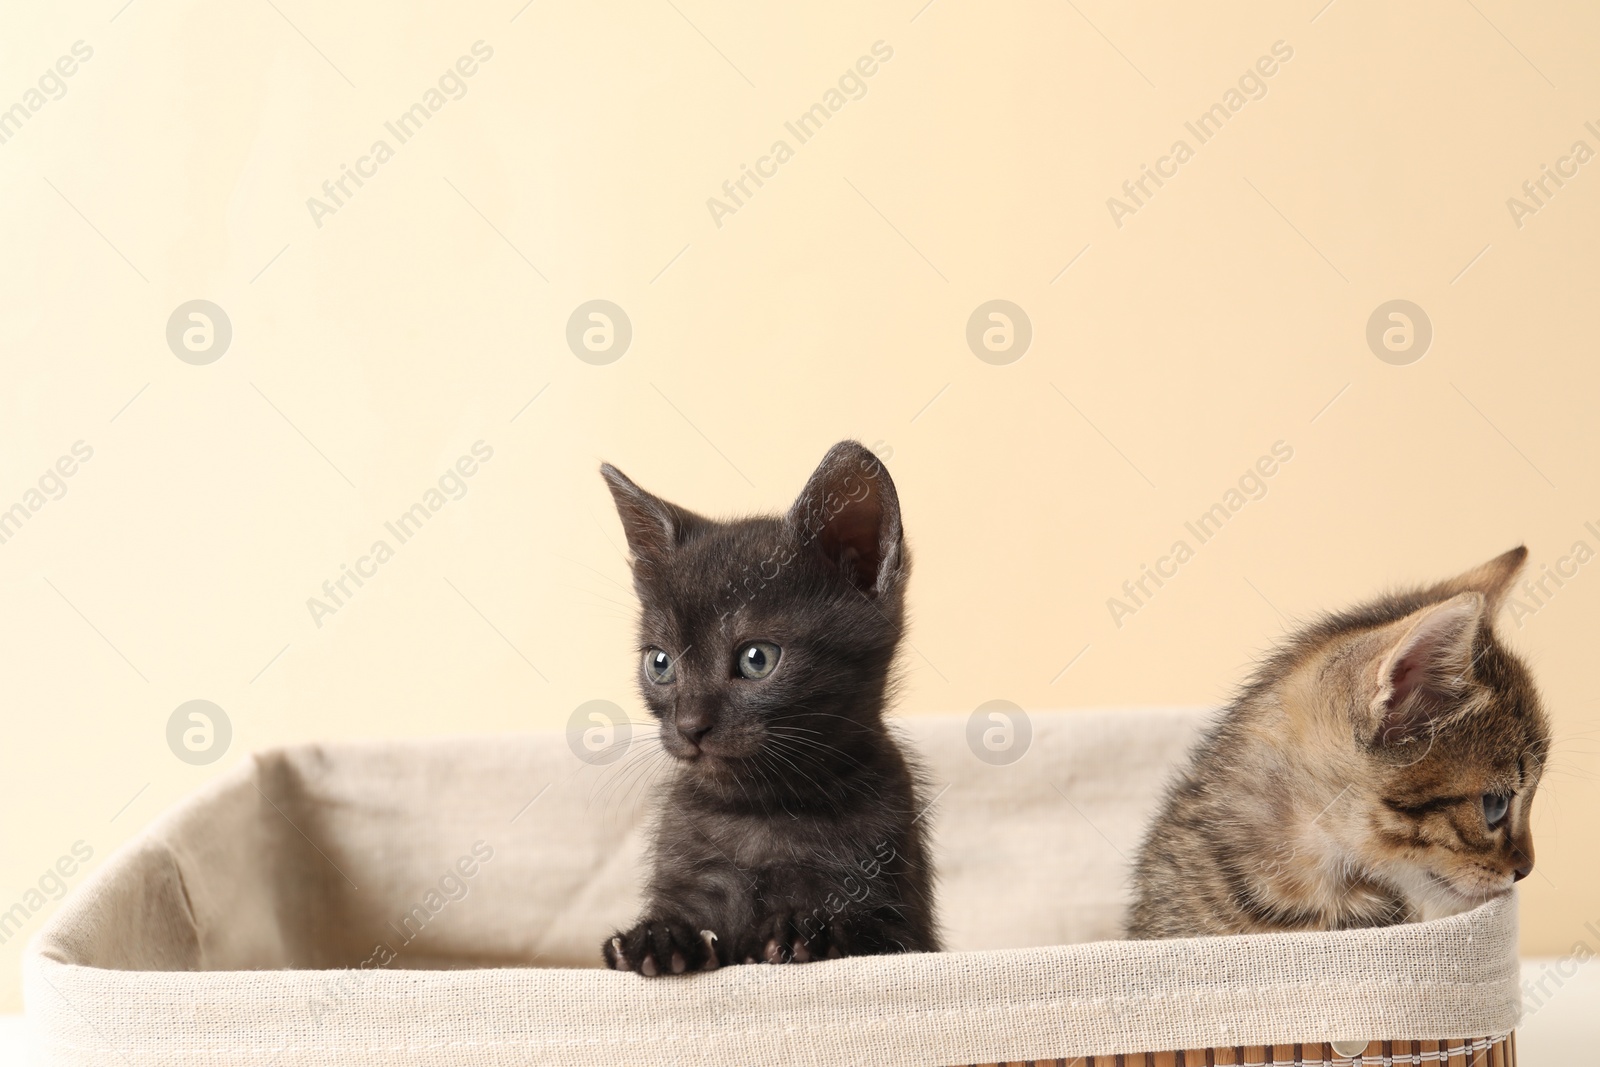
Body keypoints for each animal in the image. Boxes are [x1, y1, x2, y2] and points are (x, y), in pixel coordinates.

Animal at [598, 441, 934, 979]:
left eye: (757, 659)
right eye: (660, 663)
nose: (689, 726)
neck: (762, 809)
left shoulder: (907, 926)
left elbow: (869, 930)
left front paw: (807, 929)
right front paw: (659, 937)